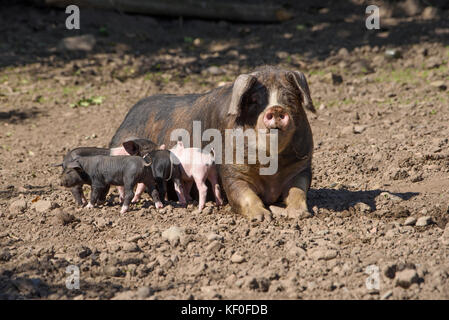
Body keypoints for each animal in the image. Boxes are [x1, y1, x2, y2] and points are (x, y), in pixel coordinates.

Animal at [110, 65, 314, 220]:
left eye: (290, 99)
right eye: (254, 101)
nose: (277, 109)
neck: (270, 167)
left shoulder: (302, 167)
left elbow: (298, 191)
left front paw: (298, 215)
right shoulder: (230, 169)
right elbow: (243, 194)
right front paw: (262, 217)